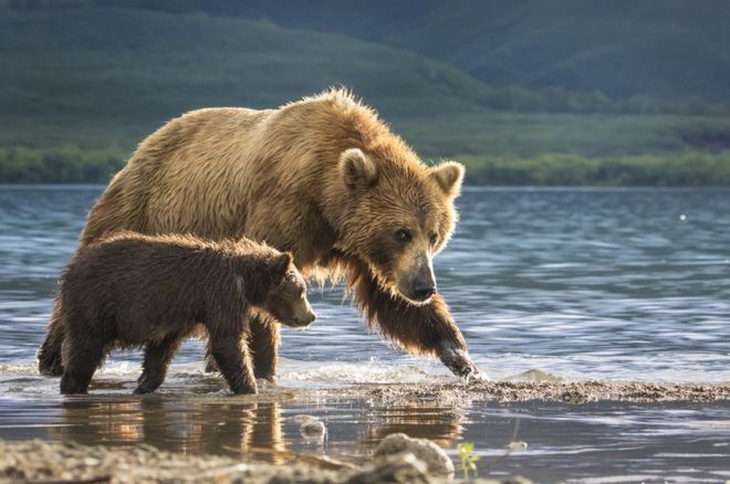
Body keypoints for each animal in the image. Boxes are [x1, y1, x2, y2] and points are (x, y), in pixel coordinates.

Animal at [39, 89, 484, 380]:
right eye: (402, 232)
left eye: (435, 234)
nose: (424, 286)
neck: (327, 196)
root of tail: (145, 144)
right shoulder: (283, 210)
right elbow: (265, 298)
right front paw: (266, 370)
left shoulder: (358, 247)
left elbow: (392, 301)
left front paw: (461, 356)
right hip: (137, 209)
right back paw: (53, 359)